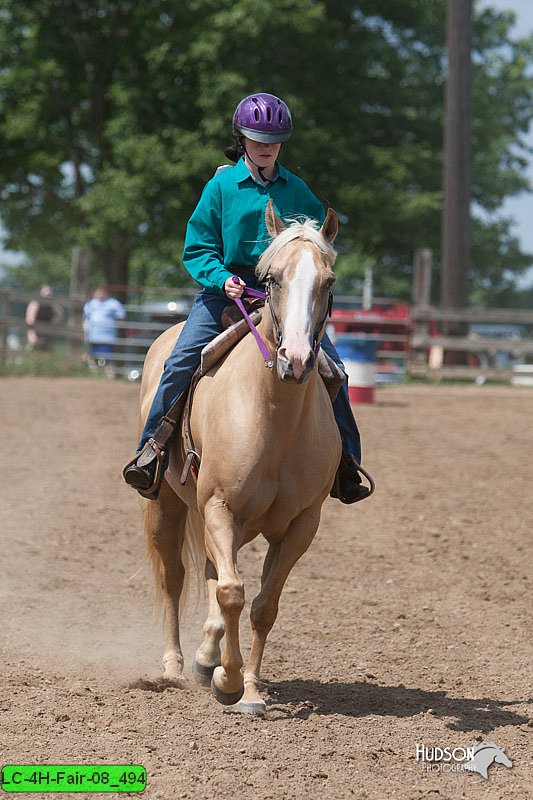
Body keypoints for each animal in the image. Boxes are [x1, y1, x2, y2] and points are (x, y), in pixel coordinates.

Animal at [139, 200, 340, 712]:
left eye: (328, 282)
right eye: (272, 279)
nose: (296, 360)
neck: (274, 419)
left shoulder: (300, 526)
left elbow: (264, 606)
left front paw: (248, 688)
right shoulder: (219, 506)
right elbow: (232, 592)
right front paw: (228, 682)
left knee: (214, 573)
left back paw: (206, 655)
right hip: (166, 505)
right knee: (175, 575)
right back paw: (174, 665)